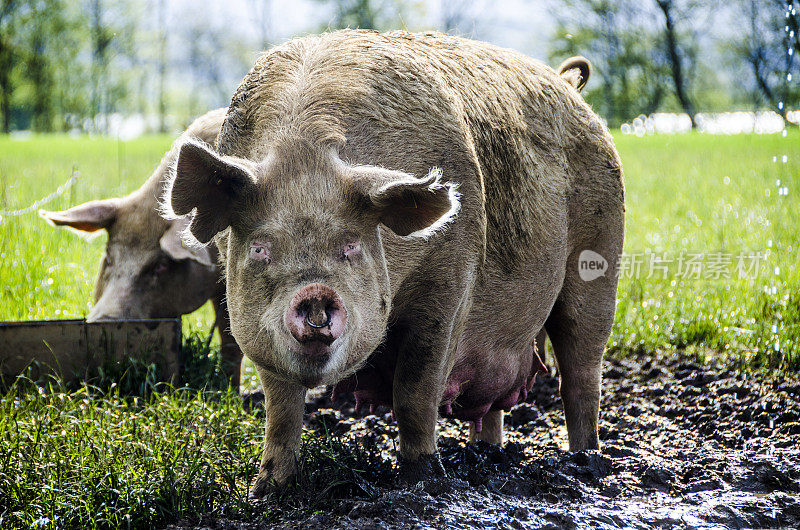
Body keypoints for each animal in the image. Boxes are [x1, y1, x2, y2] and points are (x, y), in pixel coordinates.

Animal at [164, 29, 624, 496]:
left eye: (352, 245)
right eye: (259, 248)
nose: (315, 294)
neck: (305, 157)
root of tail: (569, 86)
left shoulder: (450, 282)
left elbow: (415, 390)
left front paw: (423, 479)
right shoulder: (253, 326)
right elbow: (281, 407)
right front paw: (268, 490)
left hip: (600, 256)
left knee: (581, 373)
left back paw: (587, 461)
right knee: (491, 404)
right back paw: (488, 454)